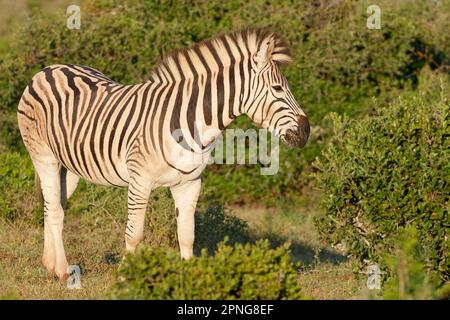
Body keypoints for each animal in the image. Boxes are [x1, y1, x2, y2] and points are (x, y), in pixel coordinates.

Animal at [17, 29, 310, 280]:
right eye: (278, 89)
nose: (306, 131)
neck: (190, 123)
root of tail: (51, 68)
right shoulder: (139, 181)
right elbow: (134, 234)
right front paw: (126, 277)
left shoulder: (190, 183)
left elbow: (187, 235)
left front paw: (191, 279)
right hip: (44, 157)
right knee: (55, 210)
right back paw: (63, 271)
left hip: (69, 166)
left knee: (53, 207)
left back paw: (50, 264)